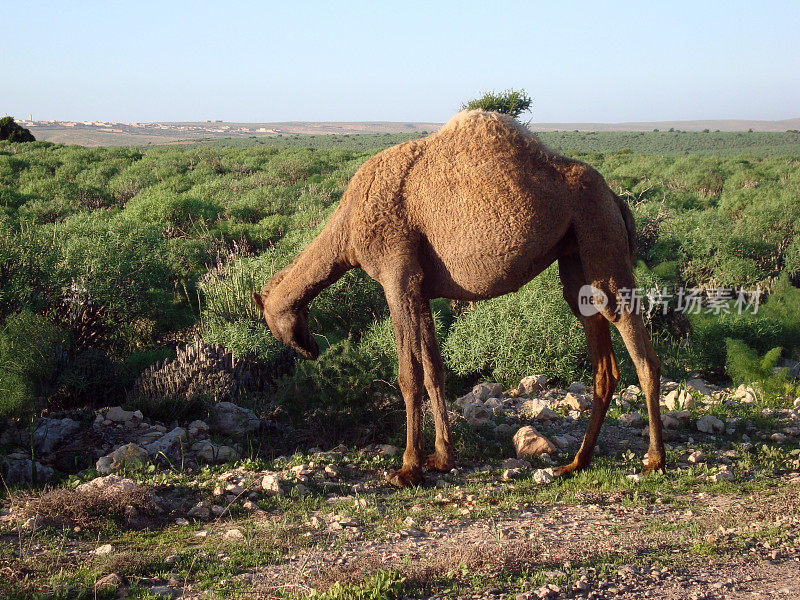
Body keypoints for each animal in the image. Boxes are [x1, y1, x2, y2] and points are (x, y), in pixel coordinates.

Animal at [253, 110, 664, 488]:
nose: (309, 349)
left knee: (641, 351)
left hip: (600, 233)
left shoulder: (396, 275)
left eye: (271, 323)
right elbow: (434, 369)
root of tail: (616, 199)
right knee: (603, 361)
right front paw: (442, 457)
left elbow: (408, 374)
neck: (347, 230)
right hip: (577, 255)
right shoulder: (420, 288)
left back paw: (654, 460)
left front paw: (408, 468)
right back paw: (577, 462)